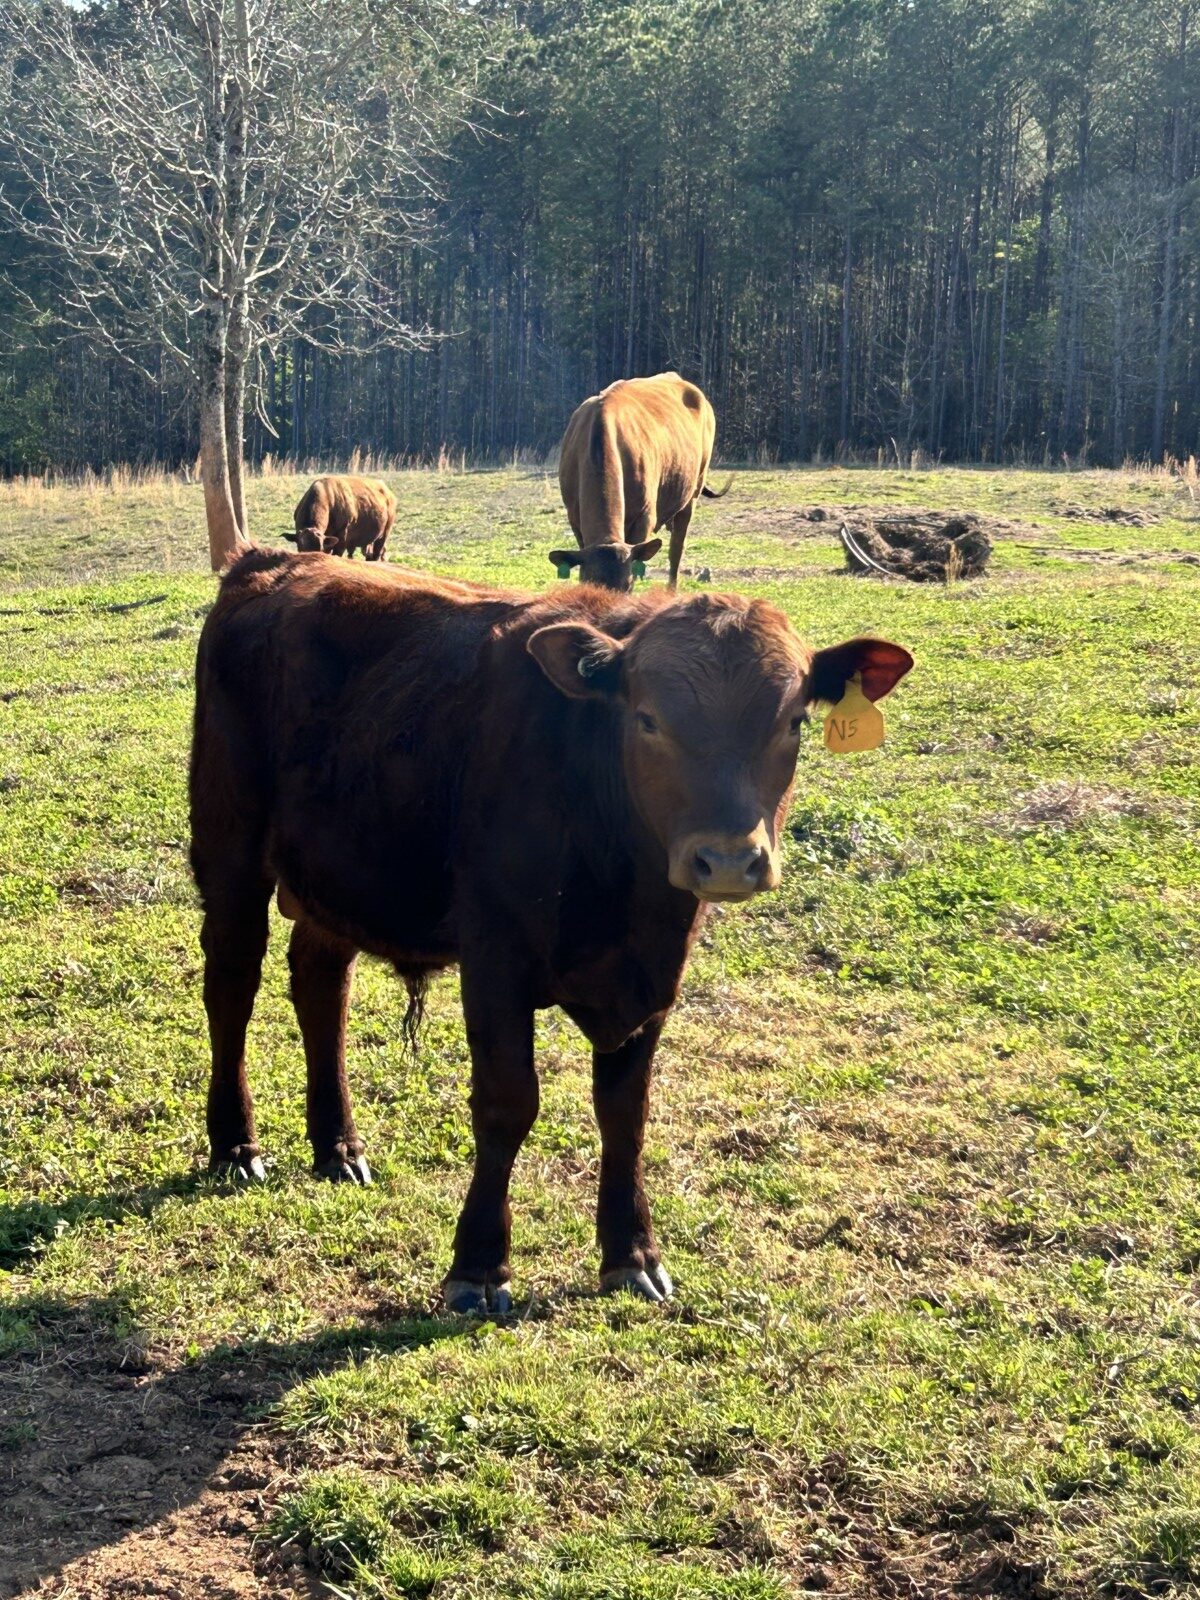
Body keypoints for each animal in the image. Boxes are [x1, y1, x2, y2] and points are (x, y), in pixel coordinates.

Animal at [190, 548, 912, 1312]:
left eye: (794, 722)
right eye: (648, 719)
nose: (727, 859)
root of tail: (271, 561)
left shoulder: (655, 975)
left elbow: (625, 1112)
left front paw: (632, 1253)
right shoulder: (494, 957)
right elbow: (507, 1103)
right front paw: (480, 1265)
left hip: (337, 874)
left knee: (321, 988)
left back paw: (337, 1147)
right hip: (230, 851)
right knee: (231, 986)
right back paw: (235, 1146)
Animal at [551, 371, 731, 592]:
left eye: (627, 587)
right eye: (590, 584)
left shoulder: (644, 517)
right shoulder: (574, 517)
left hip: (693, 491)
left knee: (676, 549)